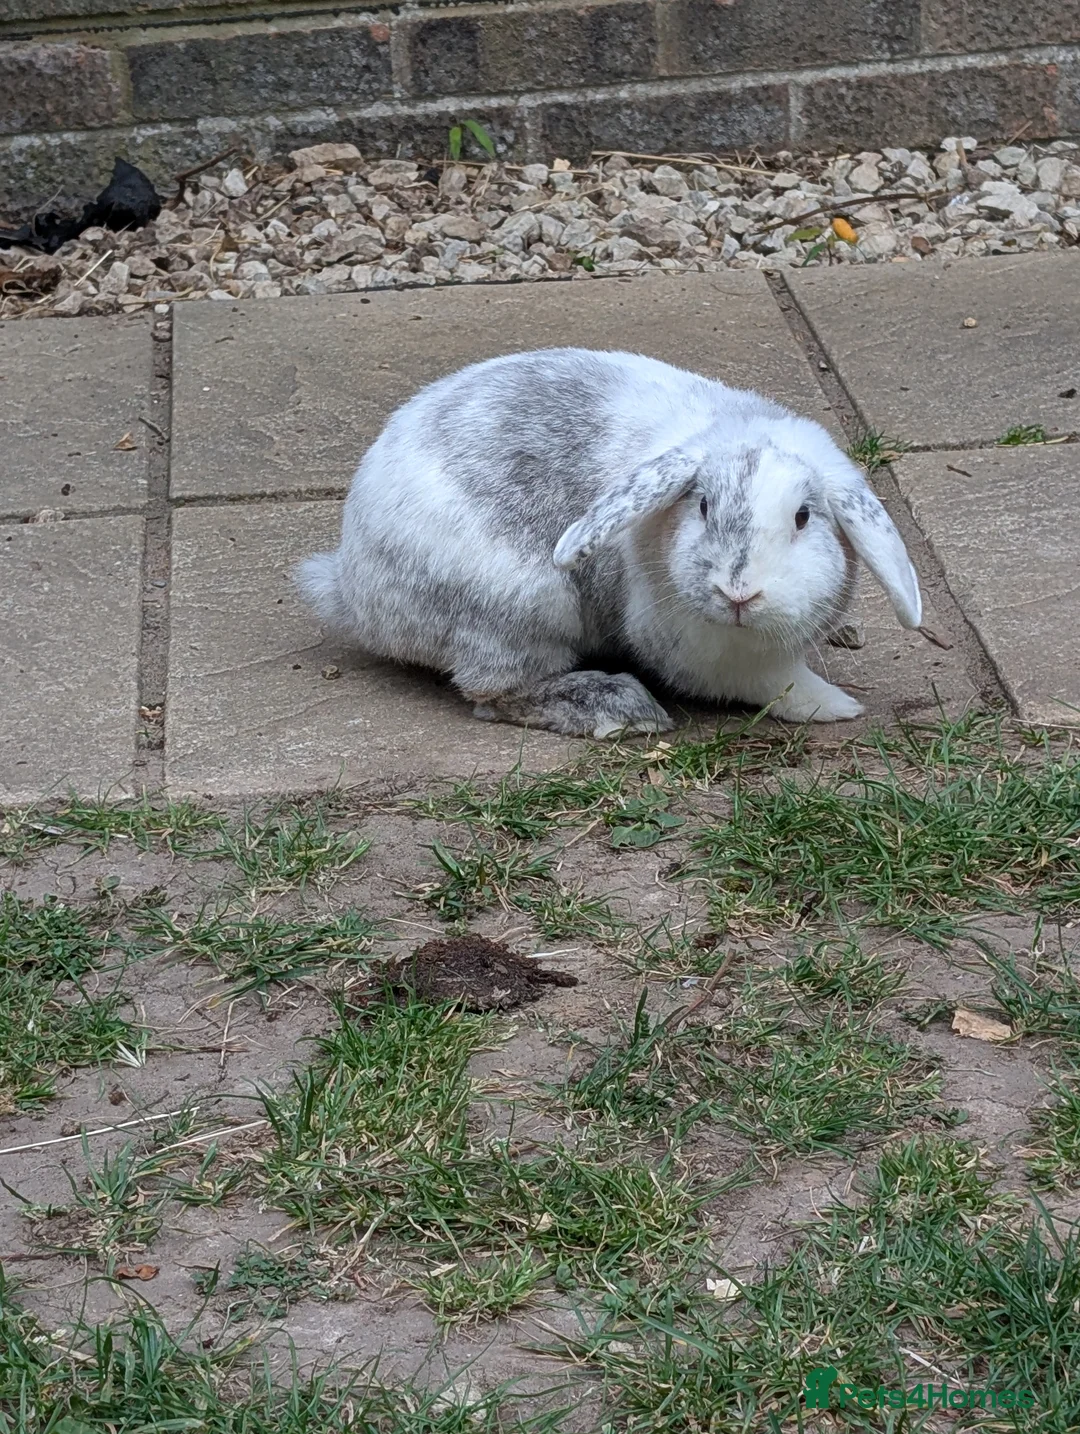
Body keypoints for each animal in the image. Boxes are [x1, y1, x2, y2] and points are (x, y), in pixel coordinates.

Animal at [297, 348, 922, 738]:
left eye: (803, 517)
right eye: (701, 505)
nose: (738, 593)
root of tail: (350, 588)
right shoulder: (709, 652)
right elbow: (773, 684)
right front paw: (836, 707)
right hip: (521, 612)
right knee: (495, 694)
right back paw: (624, 708)